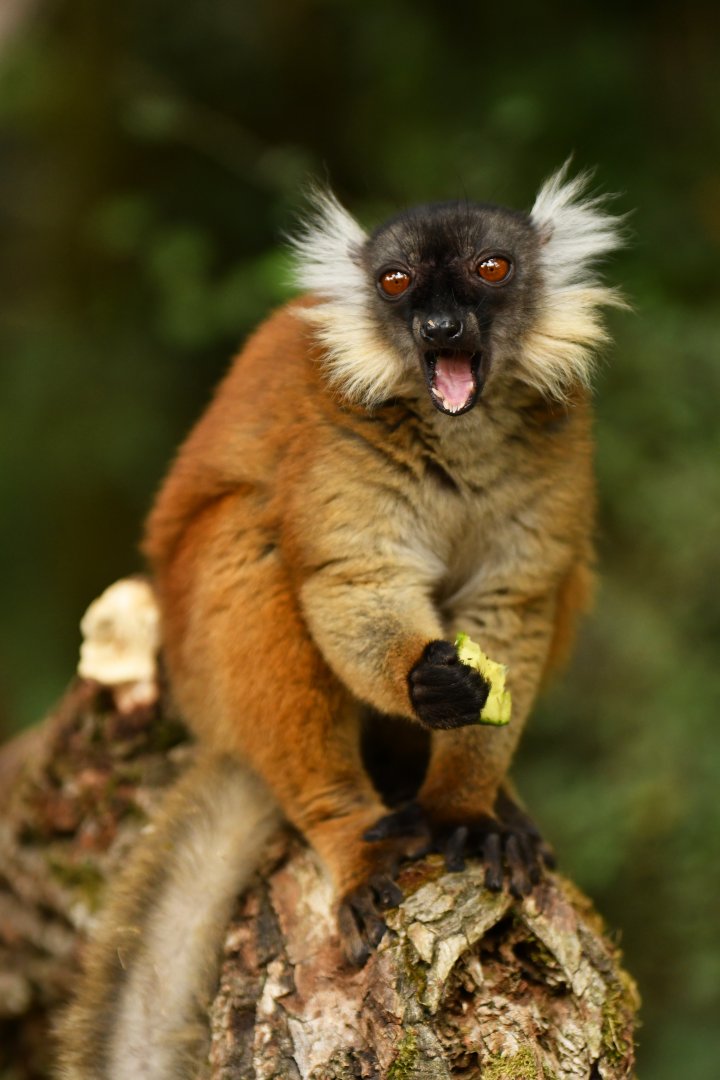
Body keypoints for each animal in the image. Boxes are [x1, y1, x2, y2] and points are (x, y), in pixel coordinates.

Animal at [57, 165, 624, 1079]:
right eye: (396, 281)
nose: (439, 326)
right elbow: (350, 577)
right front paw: (428, 680)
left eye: (491, 269)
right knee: (252, 541)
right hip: (201, 659)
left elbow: (518, 597)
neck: (462, 433)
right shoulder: (341, 433)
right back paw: (350, 836)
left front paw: (467, 809)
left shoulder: (556, 440)